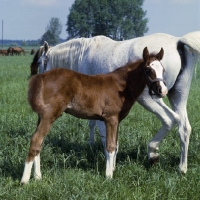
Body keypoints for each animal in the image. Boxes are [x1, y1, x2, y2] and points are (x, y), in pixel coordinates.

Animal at [21, 46, 166, 183]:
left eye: (163, 70)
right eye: (148, 70)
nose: (162, 91)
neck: (121, 86)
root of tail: (42, 76)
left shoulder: (117, 120)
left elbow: (116, 145)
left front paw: (113, 169)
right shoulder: (110, 119)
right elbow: (110, 146)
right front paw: (109, 176)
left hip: (42, 116)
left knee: (39, 143)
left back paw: (38, 176)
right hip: (49, 115)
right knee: (36, 140)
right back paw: (25, 180)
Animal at [35, 31, 200, 175]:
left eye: (39, 62)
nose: (39, 80)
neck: (83, 54)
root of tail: (177, 41)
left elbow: (103, 133)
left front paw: (109, 164)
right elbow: (94, 124)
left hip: (150, 98)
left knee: (170, 119)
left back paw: (153, 153)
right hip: (178, 96)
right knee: (184, 128)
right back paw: (182, 168)